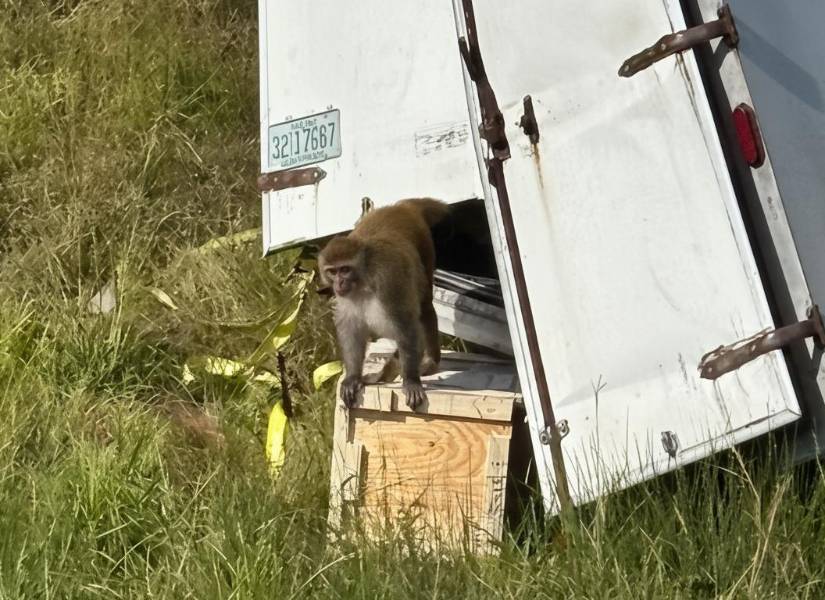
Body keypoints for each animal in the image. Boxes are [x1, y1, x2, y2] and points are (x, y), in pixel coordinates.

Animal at [318, 198, 448, 410]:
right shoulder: (345, 297)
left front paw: (411, 380)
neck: (363, 278)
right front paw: (353, 377)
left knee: (424, 308)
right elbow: (351, 330)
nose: (339, 283)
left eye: (345, 269)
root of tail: (401, 207)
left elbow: (406, 326)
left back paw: (430, 360)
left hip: (424, 246)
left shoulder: (388, 281)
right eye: (332, 271)